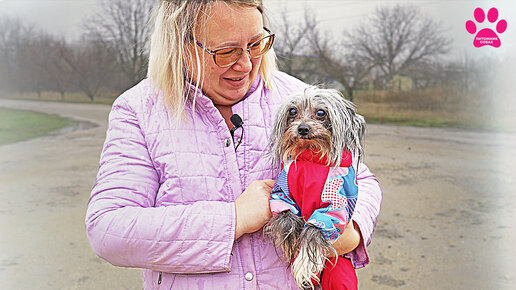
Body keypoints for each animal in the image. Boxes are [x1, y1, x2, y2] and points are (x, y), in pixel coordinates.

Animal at [264, 85, 364, 288]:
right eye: (292, 111)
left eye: (321, 113)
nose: (302, 128)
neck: (311, 161)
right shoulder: (282, 193)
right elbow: (286, 219)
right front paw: (291, 245)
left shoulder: (334, 207)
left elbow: (314, 230)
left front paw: (304, 264)